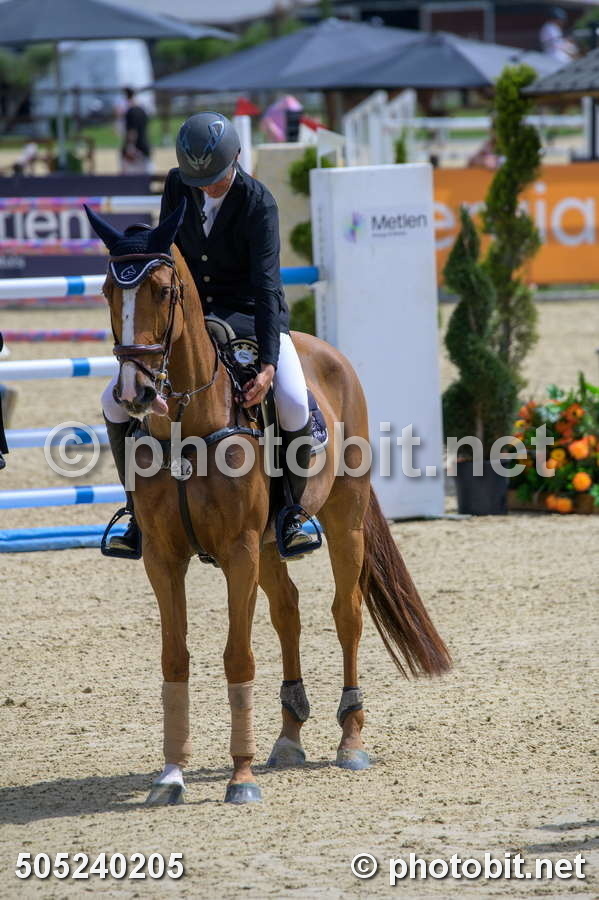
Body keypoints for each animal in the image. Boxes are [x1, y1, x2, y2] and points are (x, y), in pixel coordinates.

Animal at [85, 201, 451, 805]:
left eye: (162, 290)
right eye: (108, 292)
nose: (135, 393)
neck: (189, 421)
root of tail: (326, 350)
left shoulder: (238, 552)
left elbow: (238, 655)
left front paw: (241, 778)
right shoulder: (164, 557)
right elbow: (175, 657)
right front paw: (171, 775)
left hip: (343, 523)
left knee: (346, 613)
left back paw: (350, 740)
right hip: (271, 546)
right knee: (289, 613)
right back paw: (288, 735)